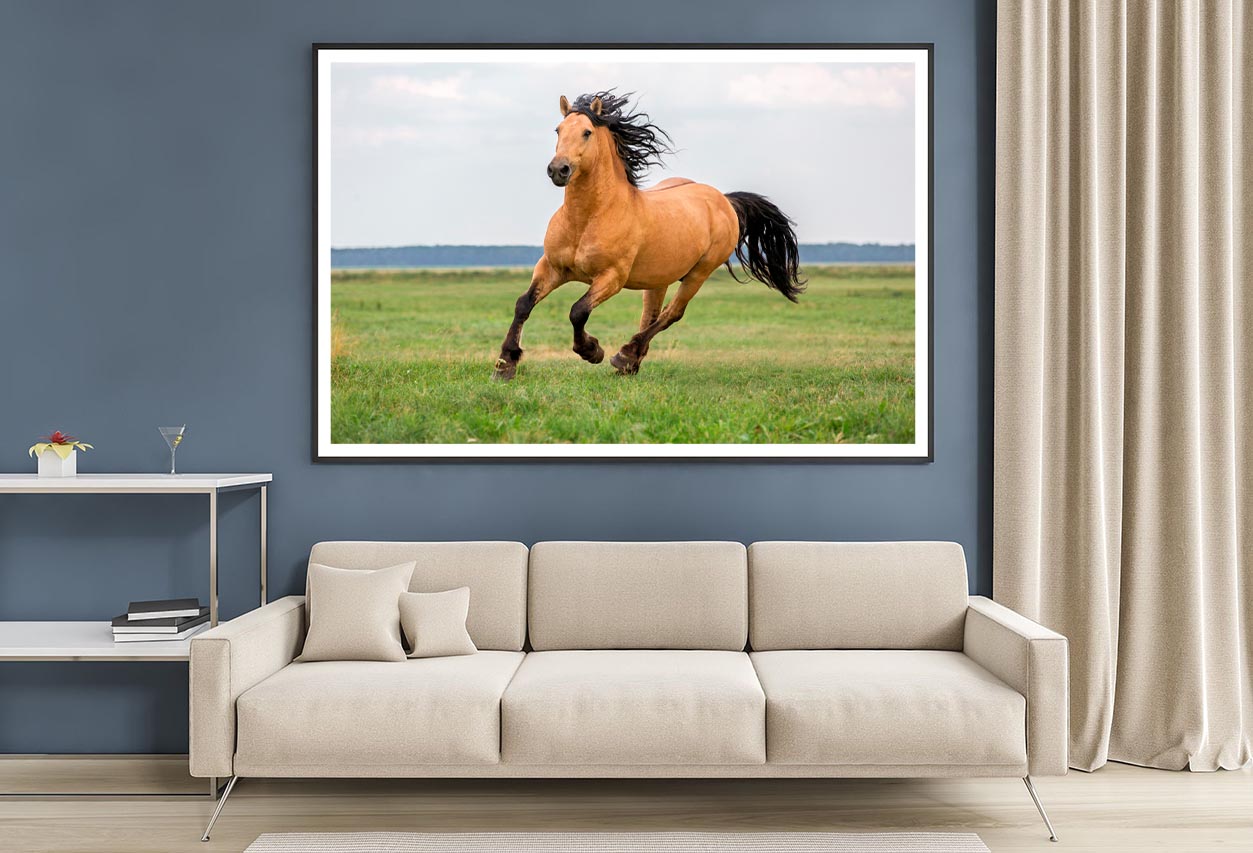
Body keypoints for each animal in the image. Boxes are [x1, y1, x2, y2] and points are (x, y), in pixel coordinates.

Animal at [492, 90, 805, 381]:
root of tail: (724, 200)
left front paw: (592, 351)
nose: (559, 169)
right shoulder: (552, 267)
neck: (587, 219)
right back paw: (630, 363)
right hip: (659, 279)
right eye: (558, 130)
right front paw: (505, 364)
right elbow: (523, 304)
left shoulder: (612, 277)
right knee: (651, 315)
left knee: (671, 315)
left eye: (587, 132)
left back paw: (624, 355)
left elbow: (577, 311)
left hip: (699, 273)